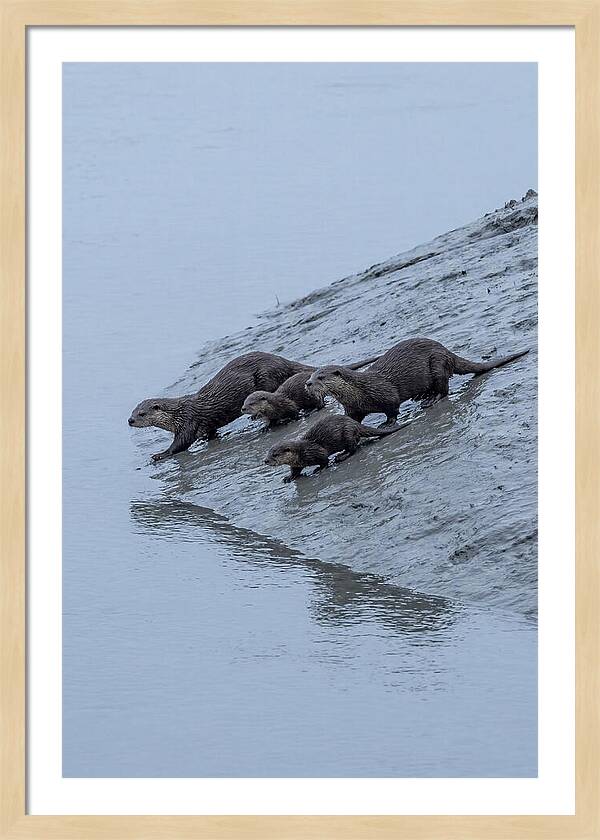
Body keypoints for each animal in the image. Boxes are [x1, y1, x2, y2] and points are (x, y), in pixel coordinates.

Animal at [128, 351, 312, 461]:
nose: (130, 421)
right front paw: (207, 438)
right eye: (132, 412)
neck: (177, 415)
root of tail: (281, 360)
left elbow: (180, 444)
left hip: (267, 376)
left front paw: (160, 455)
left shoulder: (188, 422)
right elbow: (210, 431)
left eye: (141, 414)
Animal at [241, 354, 380, 427]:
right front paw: (268, 426)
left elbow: (294, 411)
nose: (242, 409)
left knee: (320, 404)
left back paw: (311, 410)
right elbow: (271, 421)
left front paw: (295, 418)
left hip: (314, 395)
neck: (274, 405)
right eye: (244, 402)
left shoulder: (287, 404)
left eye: (251, 403)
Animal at [264, 414, 405, 482]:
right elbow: (295, 471)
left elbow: (324, 460)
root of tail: (354, 423)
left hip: (347, 433)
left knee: (353, 448)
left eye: (275, 455)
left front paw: (319, 469)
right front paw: (289, 477)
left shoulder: (316, 451)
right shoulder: (296, 464)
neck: (301, 453)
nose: (265, 461)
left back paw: (341, 456)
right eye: (268, 453)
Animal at [306, 338, 529, 424]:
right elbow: (352, 420)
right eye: (310, 376)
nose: (307, 384)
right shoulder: (353, 408)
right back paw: (423, 395)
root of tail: (446, 351)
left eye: (321, 377)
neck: (359, 391)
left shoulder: (386, 393)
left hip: (437, 363)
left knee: (444, 388)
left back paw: (431, 399)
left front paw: (387, 424)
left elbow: (392, 408)